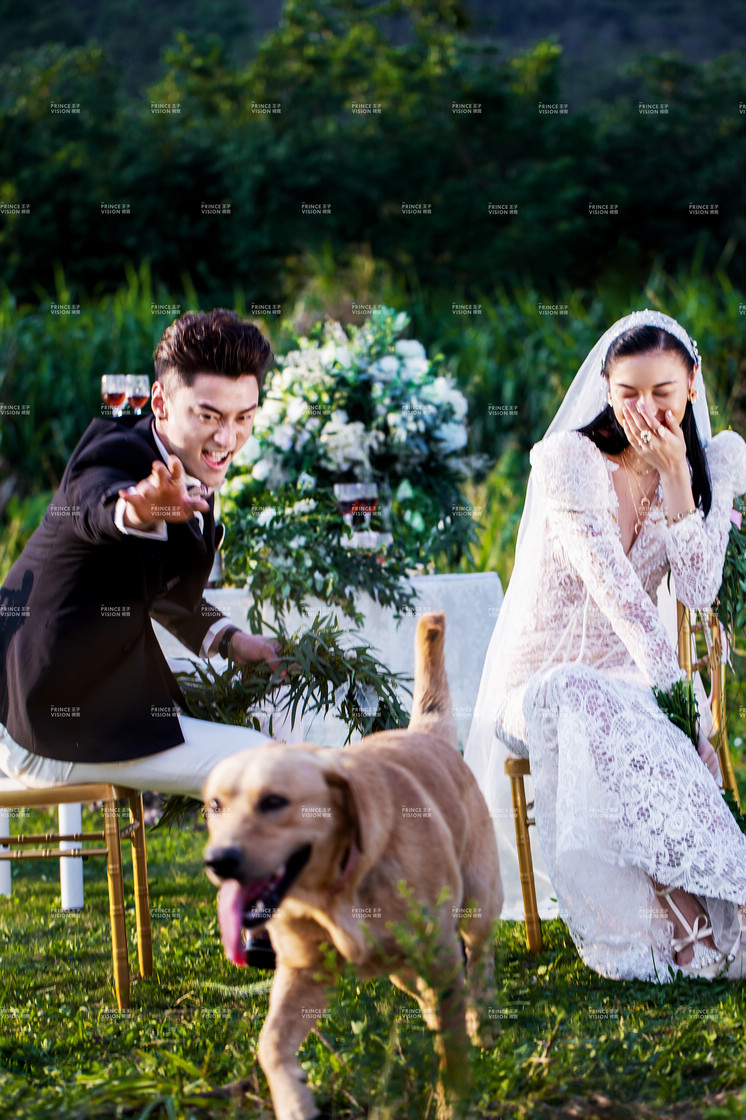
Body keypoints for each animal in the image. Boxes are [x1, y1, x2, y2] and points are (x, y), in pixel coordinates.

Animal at [204, 612, 503, 1120]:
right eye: (215, 805)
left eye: (274, 802)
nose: (217, 861)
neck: (337, 891)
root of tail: (423, 732)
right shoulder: (304, 972)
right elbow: (271, 1044)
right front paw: (294, 1101)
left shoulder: (438, 950)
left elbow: (453, 1050)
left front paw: (455, 1098)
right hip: (403, 963)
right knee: (426, 989)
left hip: (478, 904)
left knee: (479, 961)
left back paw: (479, 1019)